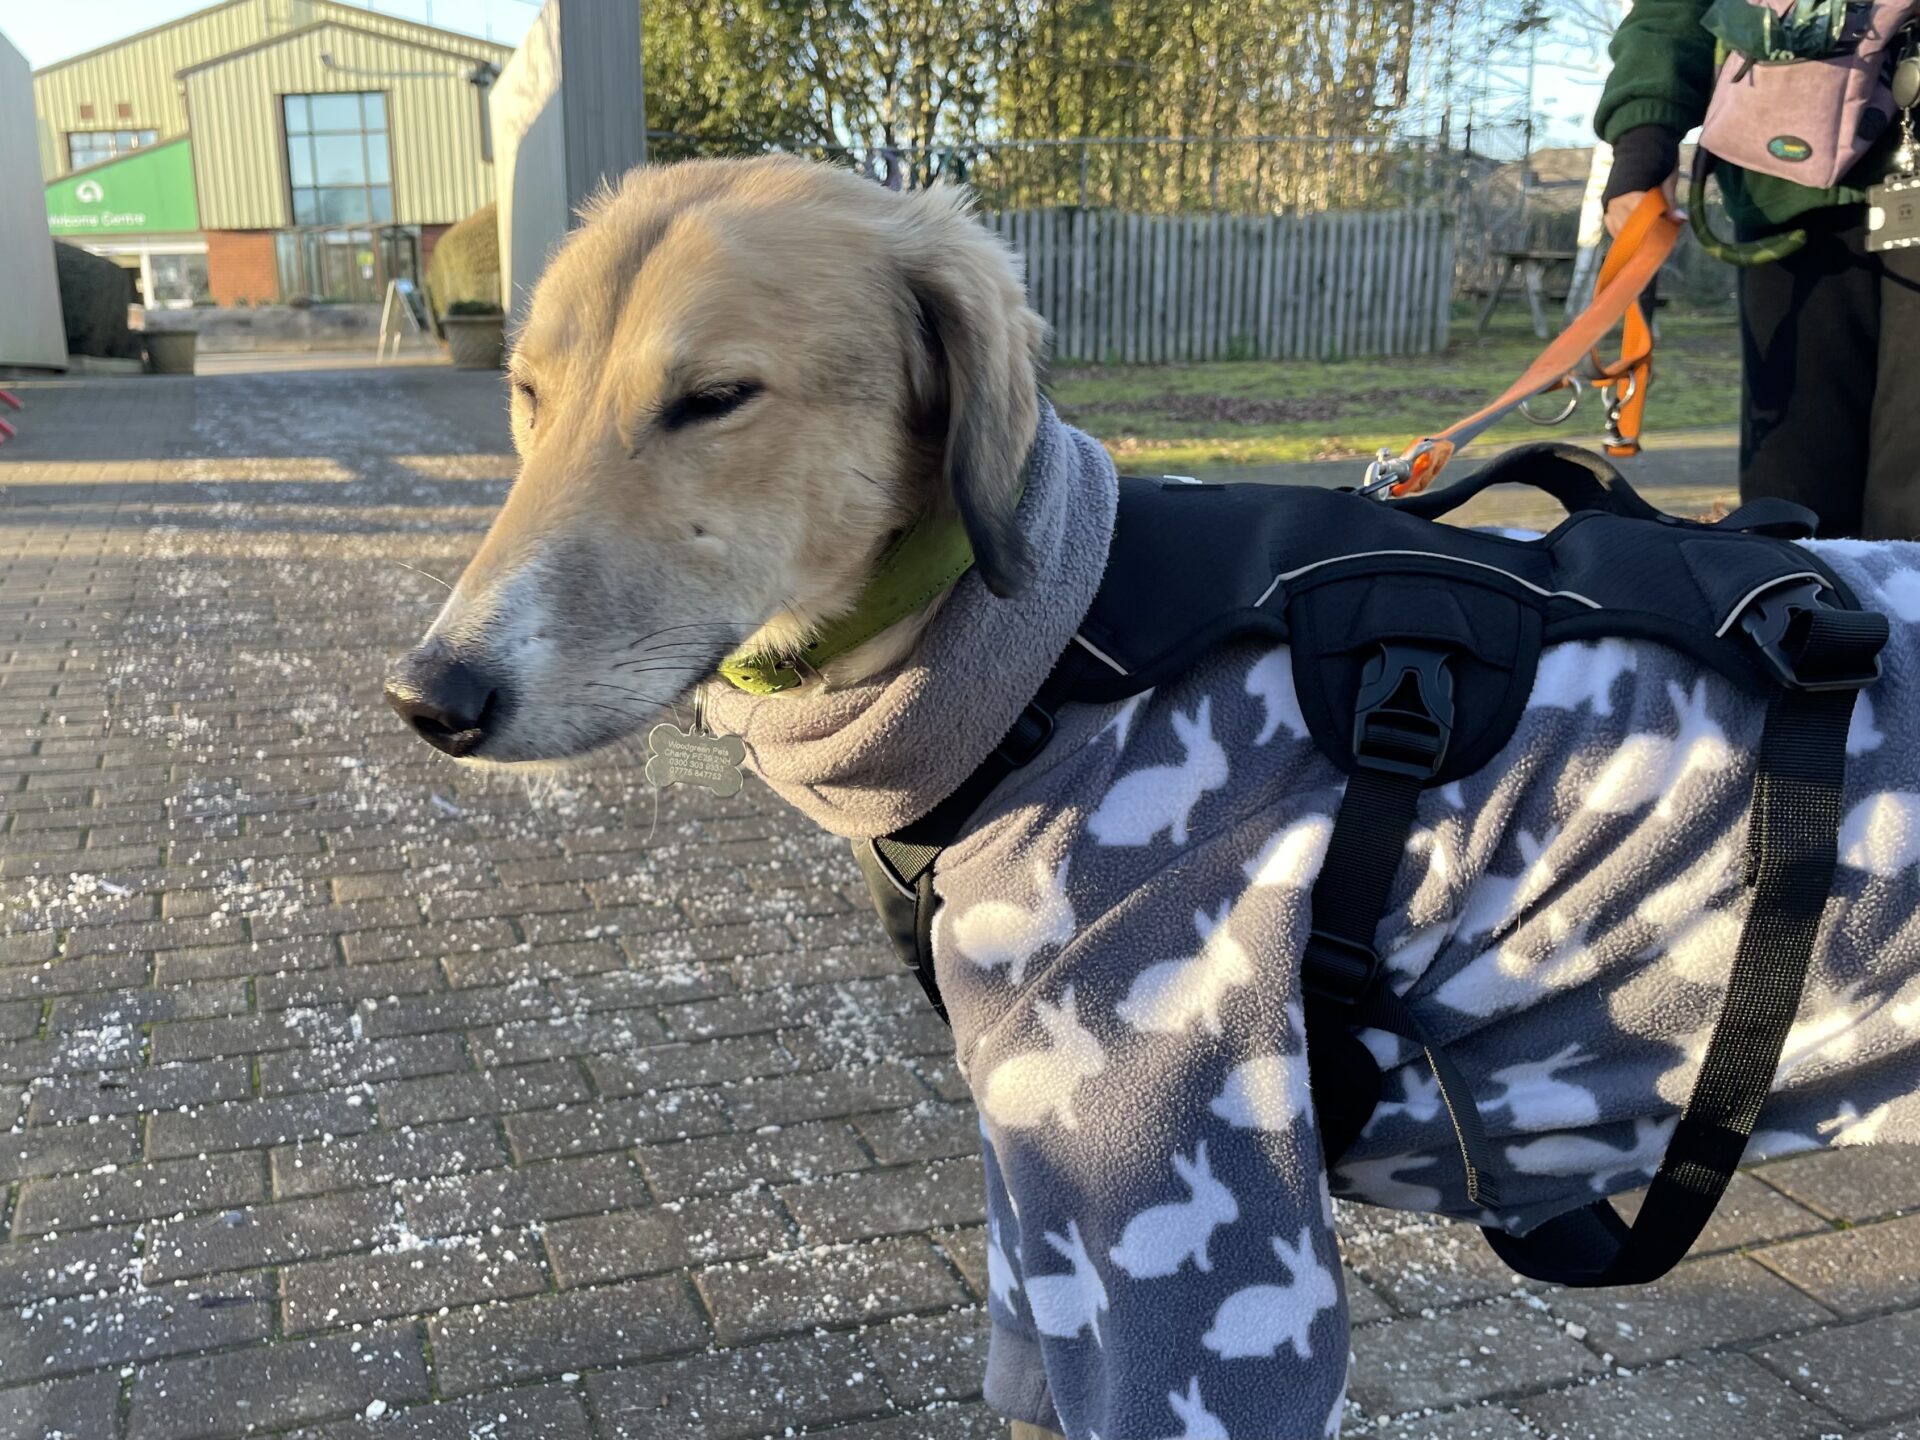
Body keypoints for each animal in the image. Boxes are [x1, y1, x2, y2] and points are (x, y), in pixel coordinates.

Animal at [981, 985, 1109, 1131]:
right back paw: (1035, 1122)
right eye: (1084, 1047)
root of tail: (988, 1103)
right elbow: (1065, 1111)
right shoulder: (1060, 1097)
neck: (1063, 1060)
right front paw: (1073, 1125)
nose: (1101, 1065)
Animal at [1088, 696, 1229, 847]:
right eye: (1215, 760)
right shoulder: (1180, 809)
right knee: (1107, 839)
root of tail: (1097, 824)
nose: (1223, 778)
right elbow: (1178, 824)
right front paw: (1180, 839)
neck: (1190, 776)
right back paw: (1141, 839)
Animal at [1107, 1140, 1240, 1279]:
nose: (1235, 1213)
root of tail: (1126, 1258)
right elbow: (1200, 1256)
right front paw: (1208, 1267)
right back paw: (1170, 1269)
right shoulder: (1199, 1243)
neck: (1199, 1212)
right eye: (1215, 1196)